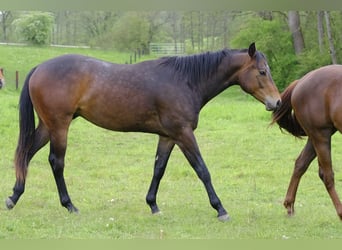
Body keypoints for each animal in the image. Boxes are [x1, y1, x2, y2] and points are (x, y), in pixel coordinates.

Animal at [6, 43, 282, 221]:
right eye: (262, 71)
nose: (277, 102)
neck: (185, 81)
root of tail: (40, 67)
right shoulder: (184, 134)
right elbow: (202, 170)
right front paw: (220, 209)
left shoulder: (168, 136)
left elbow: (158, 169)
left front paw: (153, 205)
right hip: (59, 126)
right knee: (56, 162)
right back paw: (69, 205)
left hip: (48, 126)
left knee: (26, 154)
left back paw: (14, 196)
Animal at [272, 65, 342, 221]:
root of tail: (301, 81)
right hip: (320, 135)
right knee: (327, 175)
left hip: (315, 137)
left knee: (300, 164)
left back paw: (289, 204)